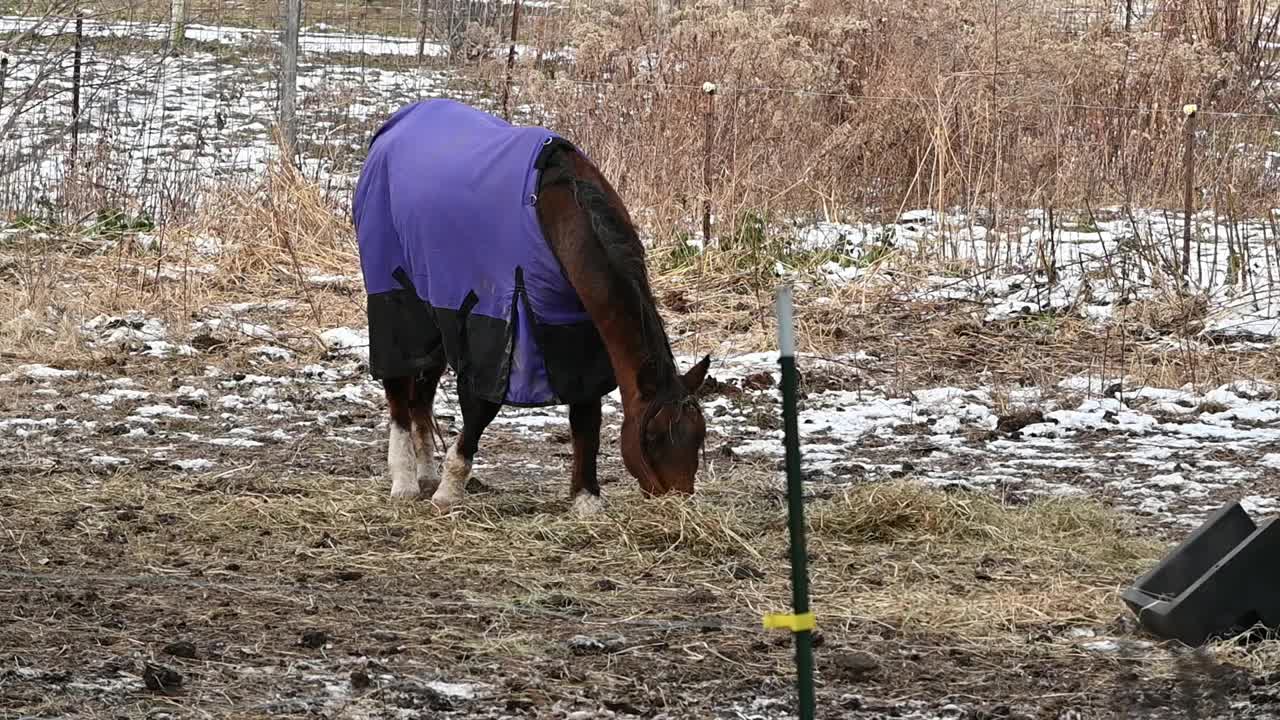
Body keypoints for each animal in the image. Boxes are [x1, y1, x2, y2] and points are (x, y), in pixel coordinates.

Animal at [350, 98, 711, 512]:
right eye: (652, 437)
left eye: (698, 437)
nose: (678, 504)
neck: (557, 214)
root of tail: (394, 127)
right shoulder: (497, 328)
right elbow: (481, 408)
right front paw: (449, 490)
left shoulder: (575, 331)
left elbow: (586, 417)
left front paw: (586, 499)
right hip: (398, 298)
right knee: (398, 388)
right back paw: (406, 481)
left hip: (436, 313)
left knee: (421, 396)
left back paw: (425, 474)